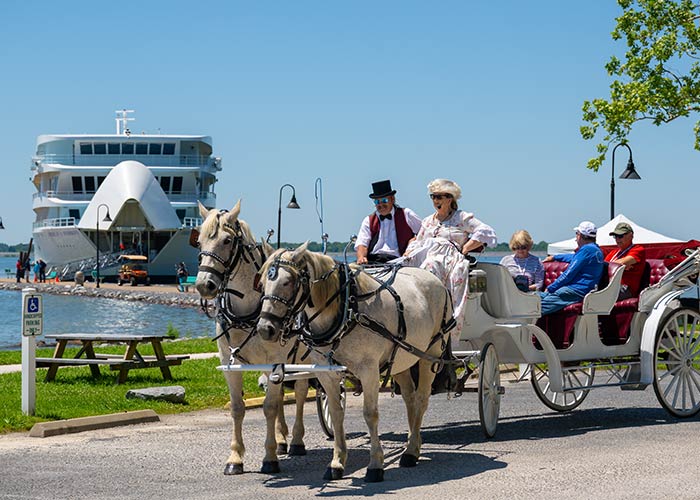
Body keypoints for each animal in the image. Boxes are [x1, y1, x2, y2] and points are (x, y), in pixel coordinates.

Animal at [194, 201, 308, 474]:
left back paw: (296, 441)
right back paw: (282, 438)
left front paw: (269, 458)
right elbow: (238, 407)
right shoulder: (229, 361)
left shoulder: (277, 359)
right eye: (199, 241)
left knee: (300, 392)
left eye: (226, 240)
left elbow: (269, 407)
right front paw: (235, 458)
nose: (204, 285)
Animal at [256, 244, 454, 482]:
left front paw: (375, 465)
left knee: (422, 399)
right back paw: (412, 445)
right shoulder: (327, 373)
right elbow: (336, 412)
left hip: (429, 354)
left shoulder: (369, 371)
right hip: (402, 358)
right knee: (410, 398)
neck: (347, 309)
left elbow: (370, 414)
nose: (265, 328)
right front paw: (337, 462)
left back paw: (411, 451)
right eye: (262, 283)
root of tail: (437, 281)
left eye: (288, 281)